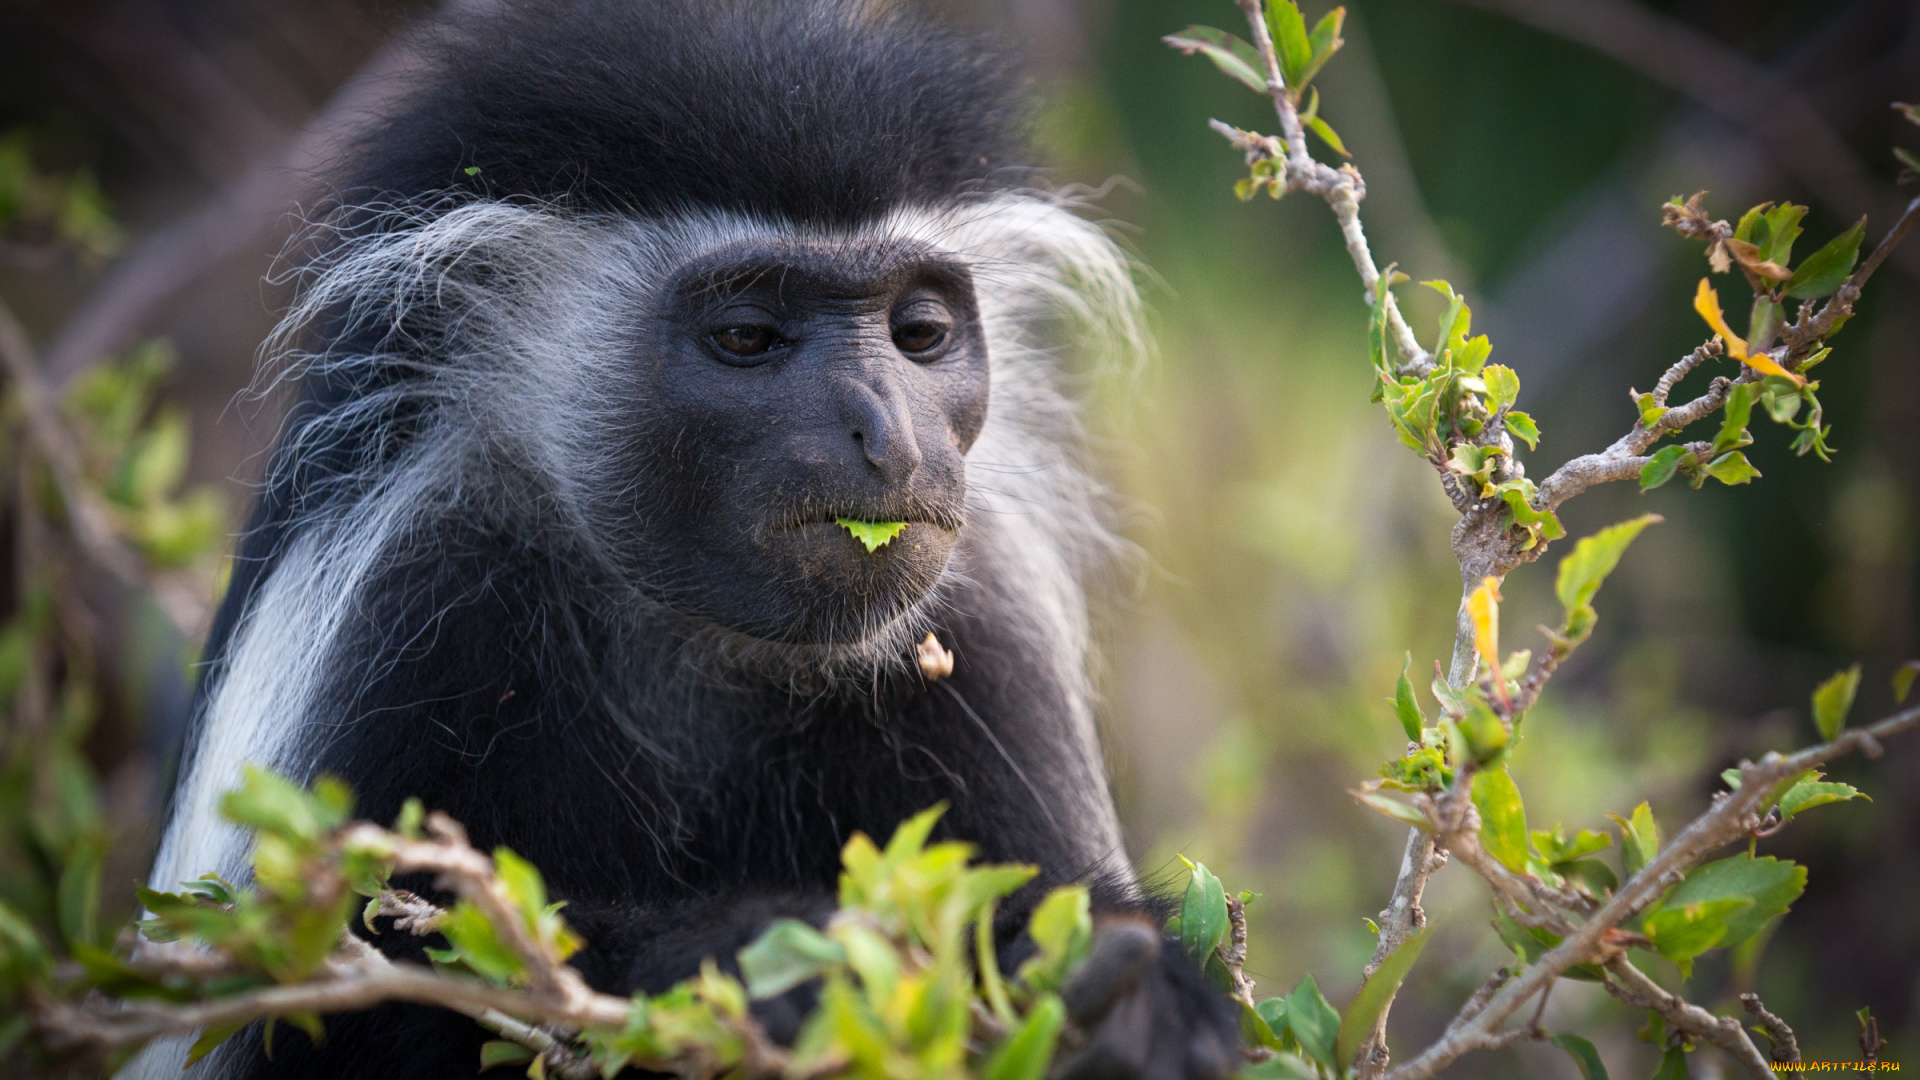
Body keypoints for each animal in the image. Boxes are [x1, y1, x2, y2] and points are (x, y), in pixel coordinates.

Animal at [139, 2, 1244, 1076]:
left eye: (919, 334)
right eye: (747, 337)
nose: (890, 433)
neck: (700, 644)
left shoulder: (987, 637)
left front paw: (1143, 1012)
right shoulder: (404, 602)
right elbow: (342, 1011)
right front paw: (758, 969)